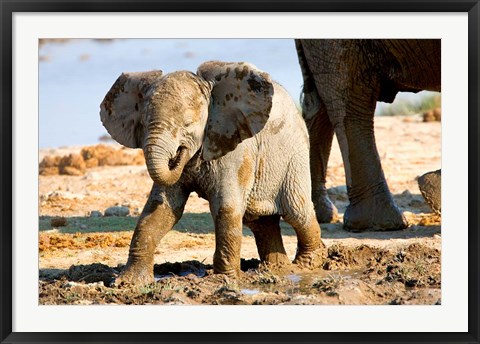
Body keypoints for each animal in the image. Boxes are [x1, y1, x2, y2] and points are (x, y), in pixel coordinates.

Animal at [101, 61, 326, 284]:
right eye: (143, 123)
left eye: (188, 124)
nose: (178, 154)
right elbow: (160, 209)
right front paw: (127, 283)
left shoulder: (234, 148)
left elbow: (226, 207)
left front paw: (224, 280)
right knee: (260, 221)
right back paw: (278, 269)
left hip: (294, 157)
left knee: (296, 212)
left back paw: (307, 265)